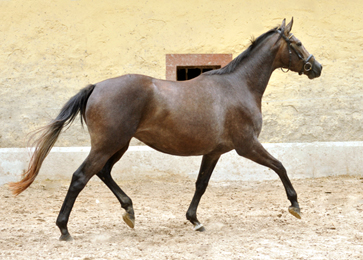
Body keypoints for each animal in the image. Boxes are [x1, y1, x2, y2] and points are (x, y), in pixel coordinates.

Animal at [8, 18, 322, 242]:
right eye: (298, 43)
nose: (317, 67)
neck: (237, 86)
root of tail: (96, 87)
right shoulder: (247, 145)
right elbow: (280, 166)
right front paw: (295, 205)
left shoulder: (214, 152)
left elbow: (201, 184)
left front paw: (194, 220)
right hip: (108, 144)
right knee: (80, 177)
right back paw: (64, 230)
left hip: (118, 145)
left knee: (103, 172)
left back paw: (129, 211)